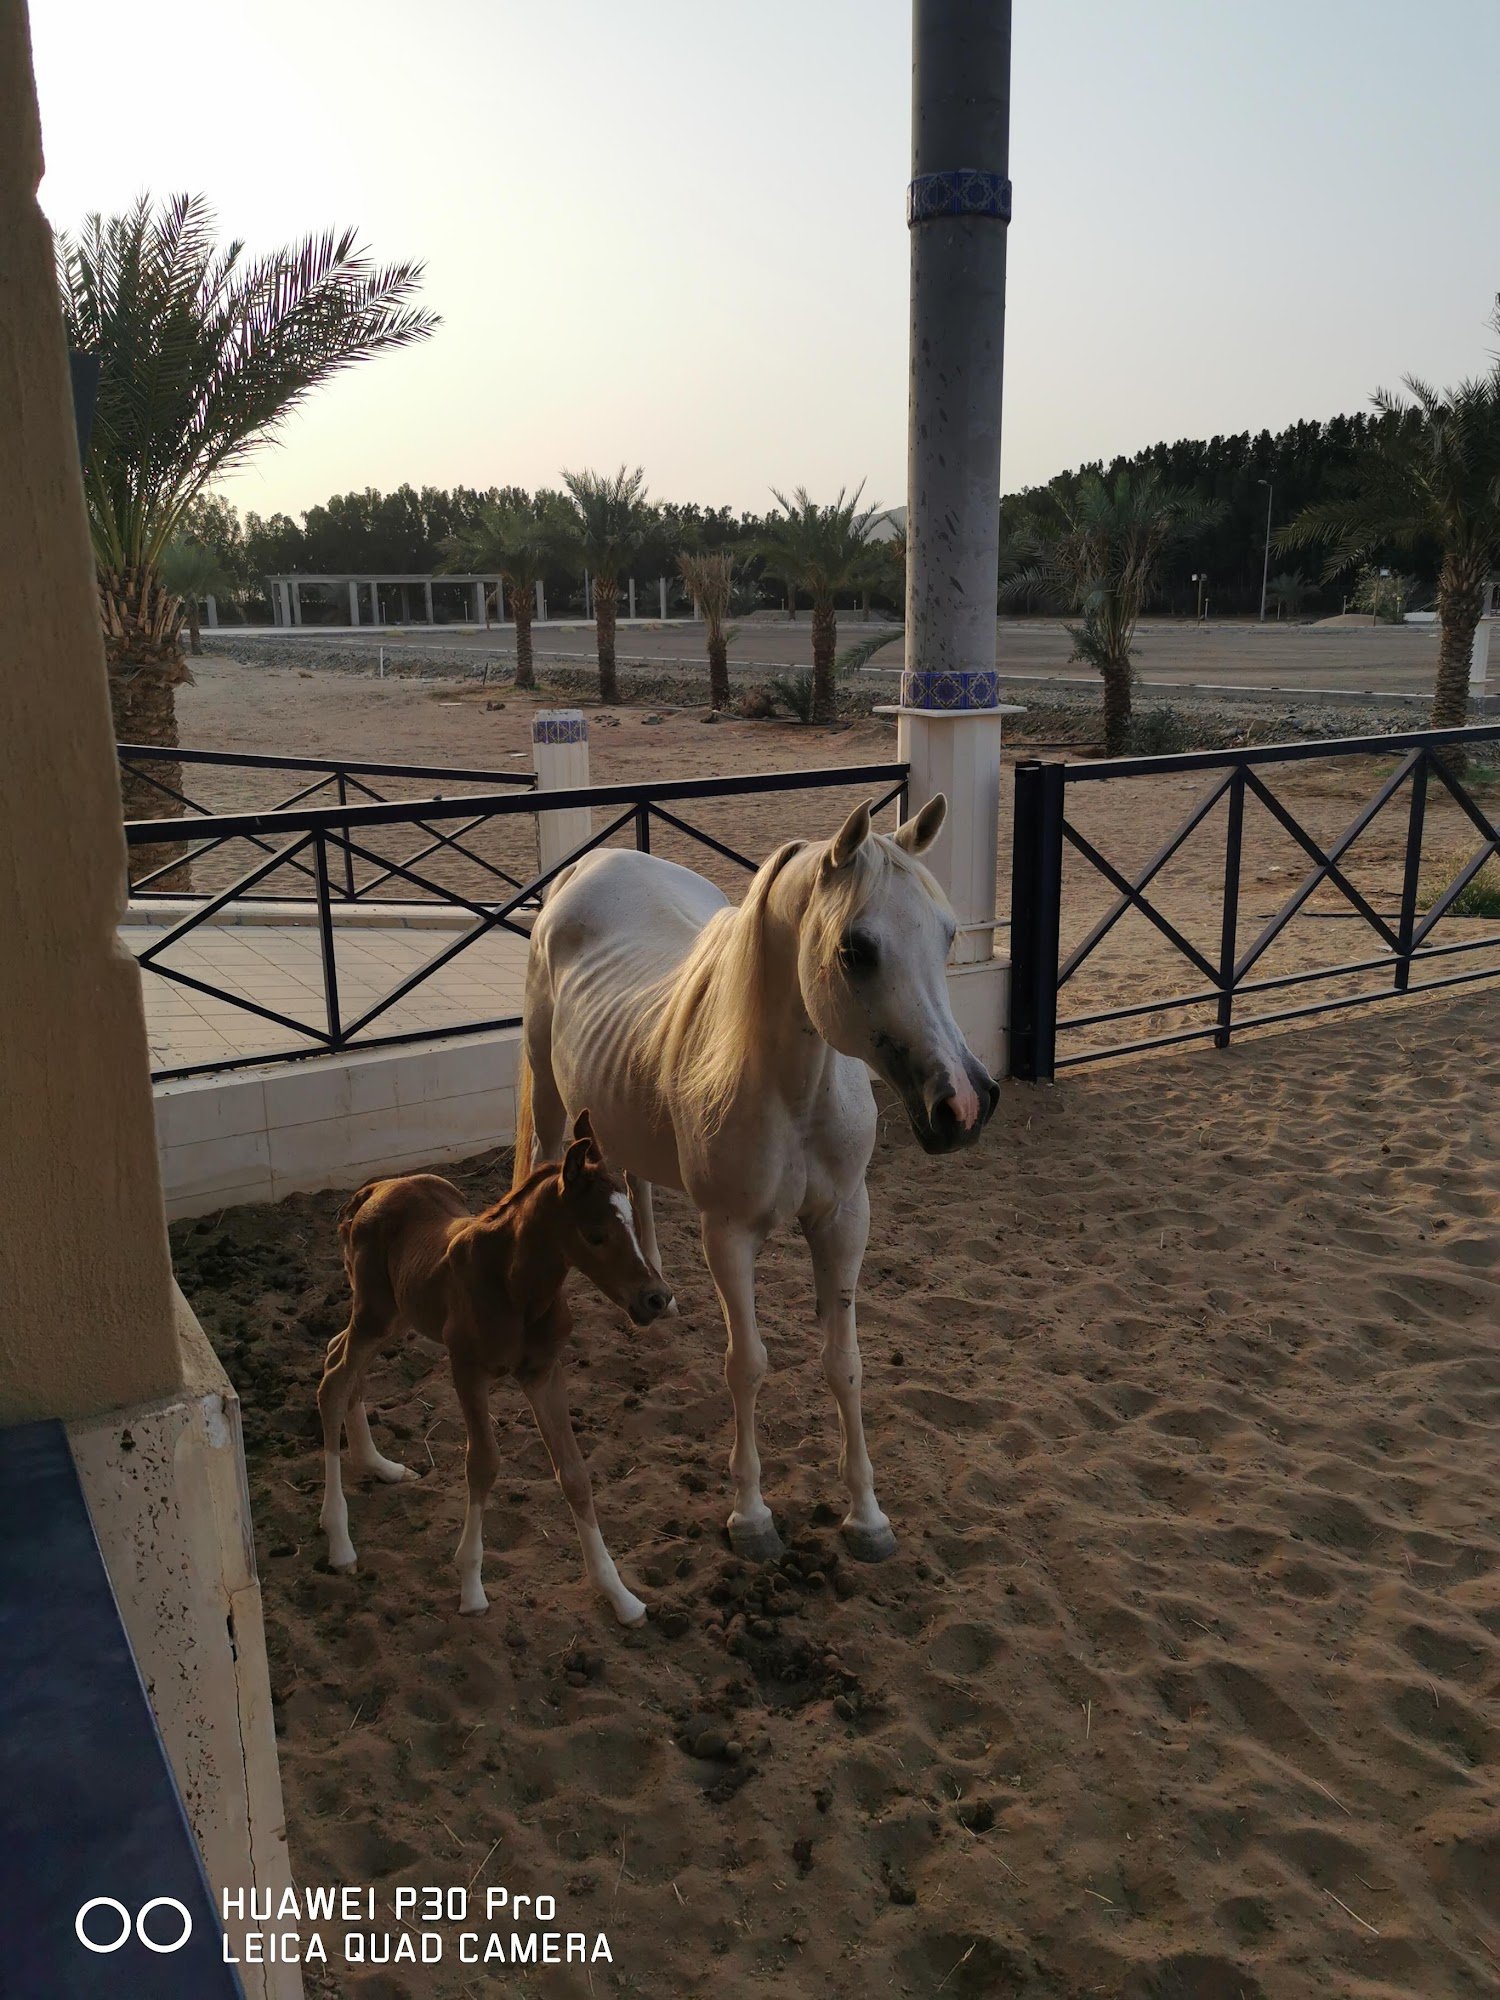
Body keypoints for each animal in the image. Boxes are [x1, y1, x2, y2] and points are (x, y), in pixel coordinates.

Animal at [315, 1111, 672, 1624]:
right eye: (595, 1234)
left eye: (635, 1224)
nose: (656, 1299)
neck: (516, 1287)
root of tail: (372, 1190)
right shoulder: (466, 1368)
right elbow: (483, 1464)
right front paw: (471, 1587)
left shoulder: (543, 1372)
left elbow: (574, 1473)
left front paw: (620, 1595)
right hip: (375, 1314)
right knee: (333, 1381)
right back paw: (340, 1540)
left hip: (396, 1316)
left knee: (338, 1357)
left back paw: (379, 1466)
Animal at [511, 793, 998, 1565]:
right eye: (856, 950)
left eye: (949, 936)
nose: (964, 1104)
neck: (792, 1093)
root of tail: (590, 866)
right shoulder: (730, 1236)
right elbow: (748, 1364)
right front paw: (750, 1517)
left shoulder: (845, 1221)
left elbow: (844, 1362)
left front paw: (867, 1518)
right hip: (553, 1100)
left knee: (632, 1181)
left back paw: (653, 1286)